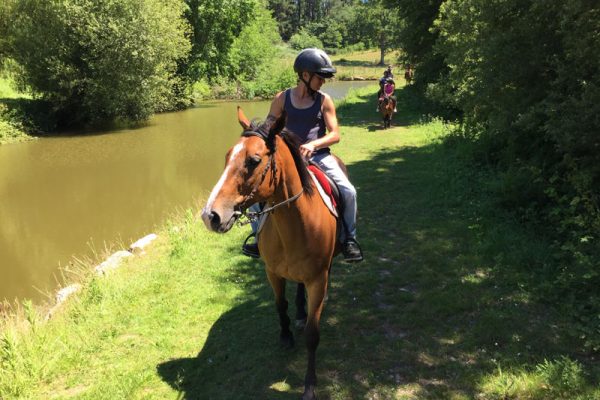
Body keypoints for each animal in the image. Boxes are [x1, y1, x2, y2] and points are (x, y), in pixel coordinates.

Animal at [202, 107, 342, 400]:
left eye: (254, 160)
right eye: (227, 156)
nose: (210, 216)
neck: (295, 226)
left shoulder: (317, 279)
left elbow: (313, 333)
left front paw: (309, 385)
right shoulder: (273, 272)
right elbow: (281, 304)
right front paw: (286, 336)